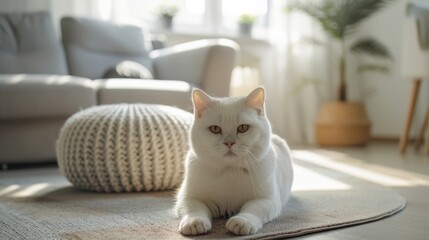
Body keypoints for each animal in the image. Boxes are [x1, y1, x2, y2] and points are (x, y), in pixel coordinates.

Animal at [173, 87, 290, 235]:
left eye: (243, 128)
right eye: (215, 129)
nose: (229, 142)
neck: (230, 169)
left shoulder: (267, 200)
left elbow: (253, 209)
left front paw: (242, 222)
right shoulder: (188, 197)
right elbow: (193, 208)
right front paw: (194, 222)